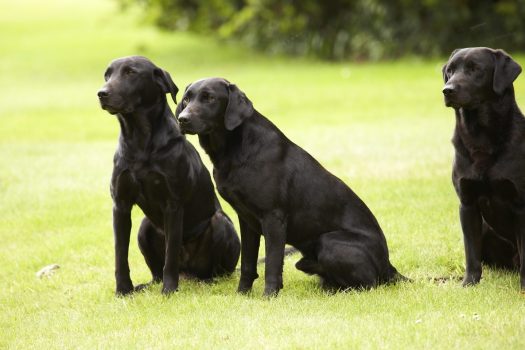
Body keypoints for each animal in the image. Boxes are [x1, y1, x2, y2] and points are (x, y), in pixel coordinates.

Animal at [96, 57, 239, 296]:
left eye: (130, 72)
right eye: (107, 75)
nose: (101, 93)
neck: (140, 141)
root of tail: (188, 273)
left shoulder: (173, 204)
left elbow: (170, 255)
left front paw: (169, 290)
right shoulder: (121, 204)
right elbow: (120, 255)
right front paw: (123, 290)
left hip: (220, 224)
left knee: (216, 271)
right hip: (144, 226)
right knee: (155, 272)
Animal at [174, 77, 404, 296]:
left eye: (210, 98)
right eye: (186, 100)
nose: (182, 119)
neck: (234, 149)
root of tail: (389, 267)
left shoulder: (274, 218)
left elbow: (272, 264)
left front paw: (269, 296)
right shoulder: (246, 220)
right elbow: (248, 264)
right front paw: (242, 295)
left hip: (329, 241)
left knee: (369, 284)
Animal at [442, 47, 524, 292]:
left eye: (475, 69)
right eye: (450, 71)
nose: (447, 90)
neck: (480, 137)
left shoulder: (520, 204)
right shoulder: (467, 203)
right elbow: (471, 251)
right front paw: (469, 283)